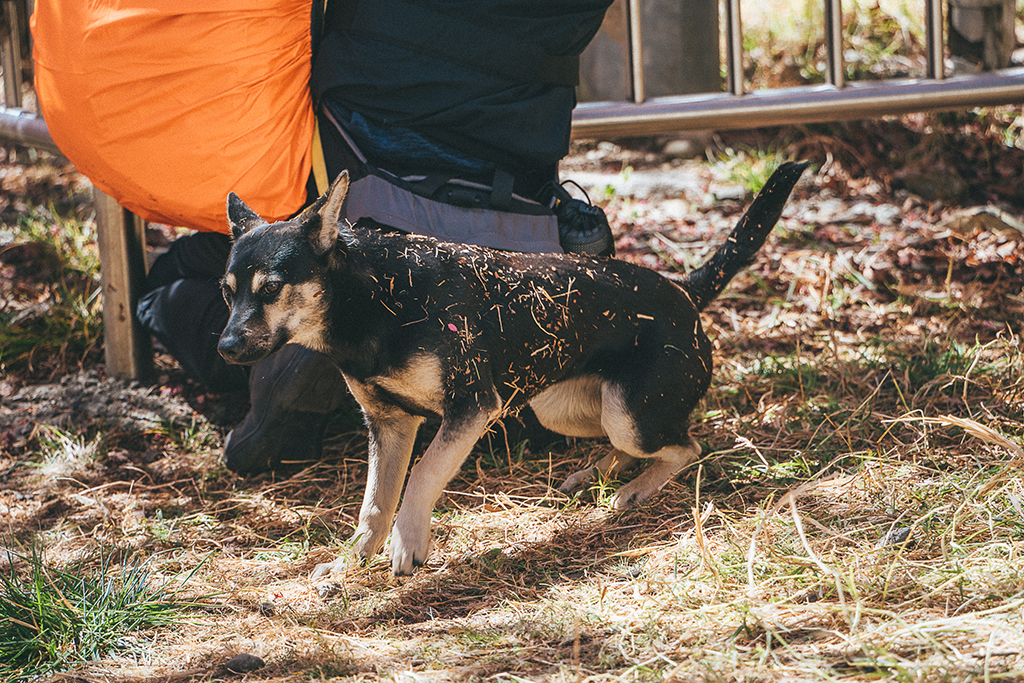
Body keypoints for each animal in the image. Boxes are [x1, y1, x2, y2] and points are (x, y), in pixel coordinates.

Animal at [218, 161, 806, 577]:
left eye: (271, 289)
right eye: (227, 293)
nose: (224, 347)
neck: (372, 298)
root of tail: (685, 290)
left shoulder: (470, 408)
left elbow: (423, 475)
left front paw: (409, 543)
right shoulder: (391, 425)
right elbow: (374, 504)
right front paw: (351, 562)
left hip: (627, 413)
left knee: (685, 447)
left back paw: (636, 490)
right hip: (564, 408)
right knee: (638, 446)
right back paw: (594, 475)